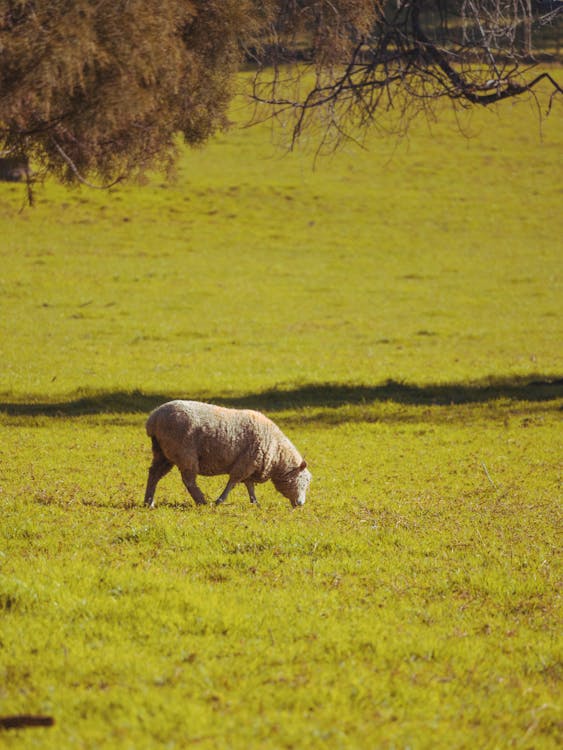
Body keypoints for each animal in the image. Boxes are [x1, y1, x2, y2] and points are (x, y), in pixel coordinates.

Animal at [144, 400, 312, 512]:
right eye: (303, 481)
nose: (301, 503)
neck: (278, 454)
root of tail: (154, 419)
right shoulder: (245, 463)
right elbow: (233, 483)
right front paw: (220, 501)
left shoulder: (250, 464)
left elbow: (249, 486)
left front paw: (255, 503)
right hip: (184, 453)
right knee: (188, 480)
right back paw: (201, 501)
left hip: (163, 453)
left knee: (154, 474)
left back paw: (149, 502)